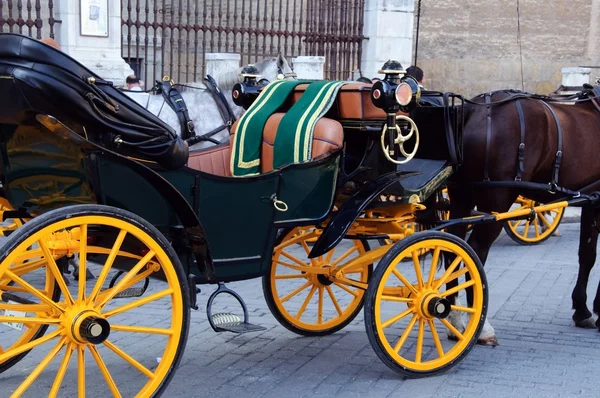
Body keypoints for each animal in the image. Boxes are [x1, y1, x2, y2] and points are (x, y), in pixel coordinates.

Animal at [446, 87, 600, 346]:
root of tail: (474, 109)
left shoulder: (590, 201)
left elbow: (586, 255)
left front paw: (583, 310)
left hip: (460, 199)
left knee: (452, 250)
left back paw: (454, 319)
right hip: (495, 203)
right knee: (475, 251)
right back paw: (481, 328)